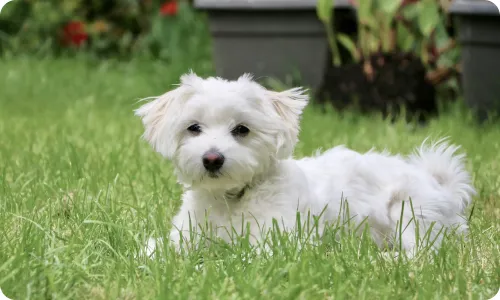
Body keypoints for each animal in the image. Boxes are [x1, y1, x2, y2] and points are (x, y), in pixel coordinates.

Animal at [134, 71, 476, 256]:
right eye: (193, 128)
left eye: (242, 129)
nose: (212, 158)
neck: (231, 200)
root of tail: (438, 183)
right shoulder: (185, 234)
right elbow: (156, 251)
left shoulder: (280, 240)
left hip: (409, 212)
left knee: (421, 252)